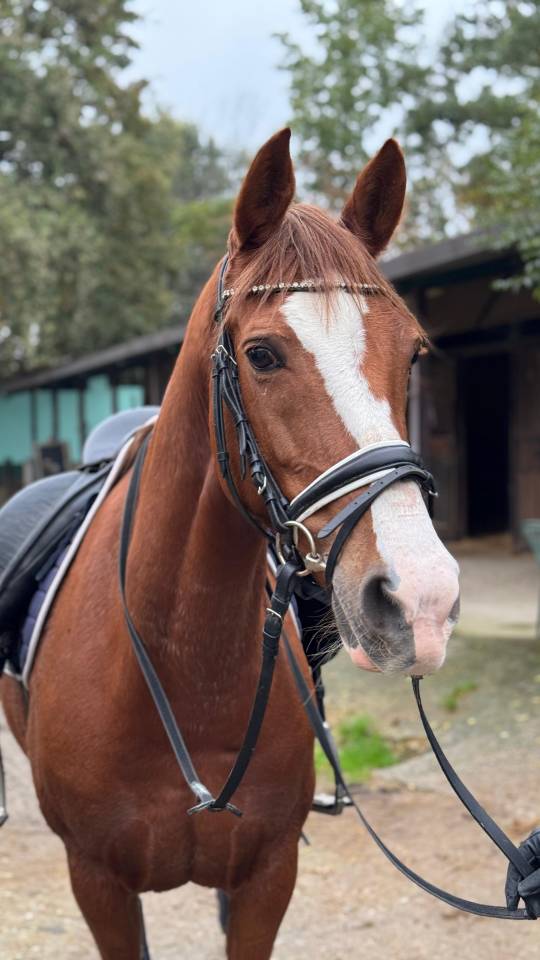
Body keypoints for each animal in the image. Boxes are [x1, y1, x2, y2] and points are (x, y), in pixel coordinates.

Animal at [1, 128, 460, 959]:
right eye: (263, 354)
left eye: (412, 352)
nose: (422, 599)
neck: (181, 662)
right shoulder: (98, 885)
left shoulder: (266, 880)